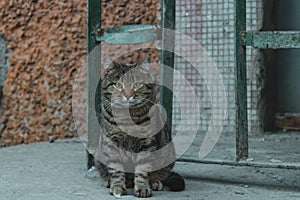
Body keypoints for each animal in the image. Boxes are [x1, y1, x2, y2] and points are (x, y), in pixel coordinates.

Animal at [96, 58, 184, 198]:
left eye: (137, 85)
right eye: (118, 85)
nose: (128, 95)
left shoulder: (147, 142)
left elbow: (142, 169)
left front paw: (143, 188)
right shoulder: (111, 143)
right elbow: (116, 168)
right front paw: (117, 187)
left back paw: (155, 182)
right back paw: (109, 181)